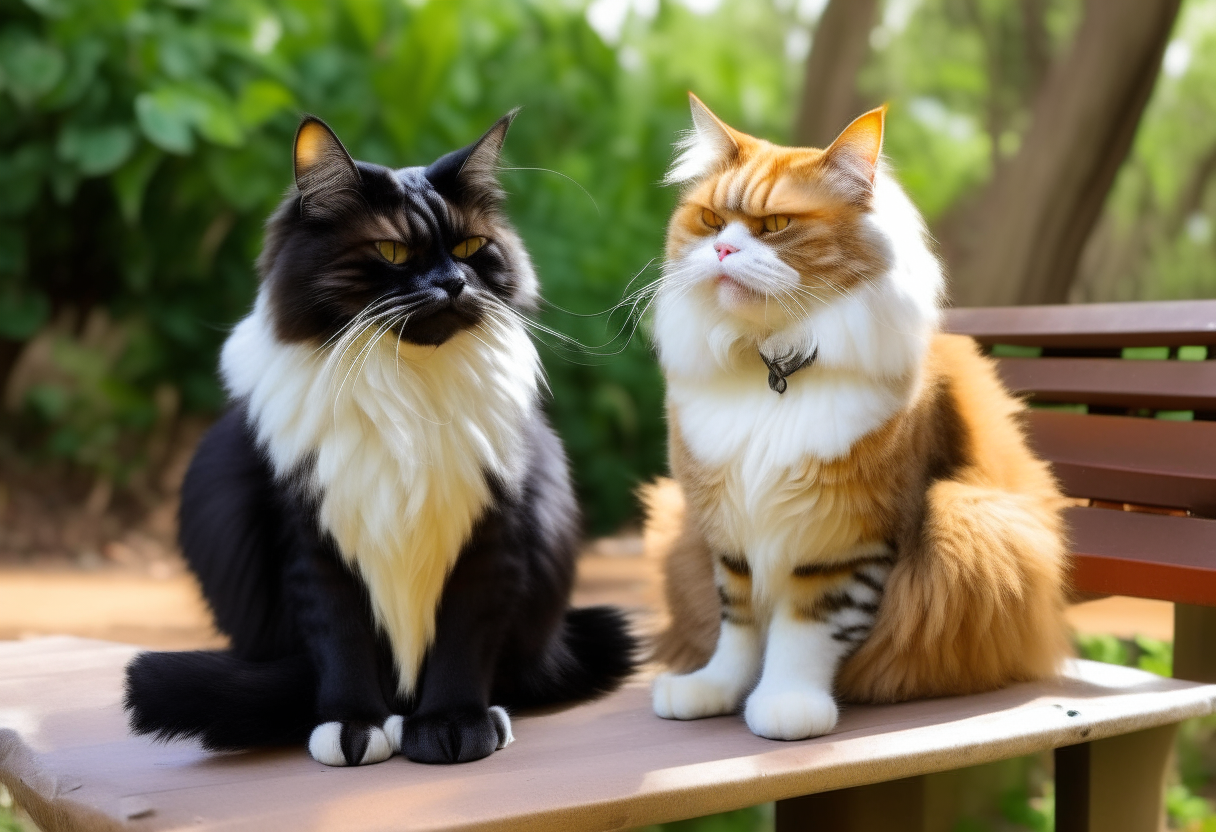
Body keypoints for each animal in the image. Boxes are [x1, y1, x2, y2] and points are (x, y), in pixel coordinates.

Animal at [123, 111, 637, 768]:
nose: (452, 283)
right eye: (393, 251)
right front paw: (353, 727)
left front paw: (454, 727)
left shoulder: (491, 528)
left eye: (469, 249)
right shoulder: (312, 538)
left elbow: (463, 640)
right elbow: (341, 641)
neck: (407, 390)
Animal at [642, 96, 1070, 739]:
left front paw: (786, 706)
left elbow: (804, 632)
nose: (721, 252)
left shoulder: (846, 536)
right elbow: (737, 628)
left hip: (972, 518)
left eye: (775, 226)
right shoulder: (731, 533)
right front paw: (713, 690)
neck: (773, 365)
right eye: (712, 221)